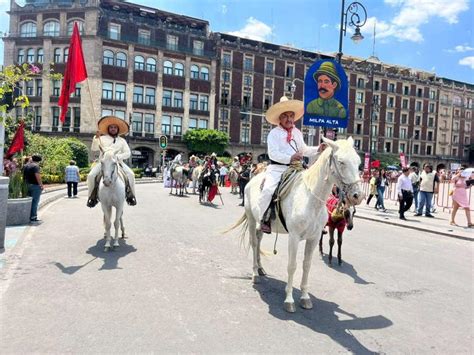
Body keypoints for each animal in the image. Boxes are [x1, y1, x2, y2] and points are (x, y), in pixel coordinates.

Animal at [226, 138, 362, 312]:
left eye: (358, 162)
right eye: (341, 162)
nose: (358, 195)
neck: (310, 199)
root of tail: (252, 180)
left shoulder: (314, 238)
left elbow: (306, 265)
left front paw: (305, 297)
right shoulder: (294, 237)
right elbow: (292, 266)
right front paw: (289, 300)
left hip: (261, 224)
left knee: (259, 241)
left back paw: (261, 268)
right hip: (251, 218)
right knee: (254, 242)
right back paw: (255, 273)